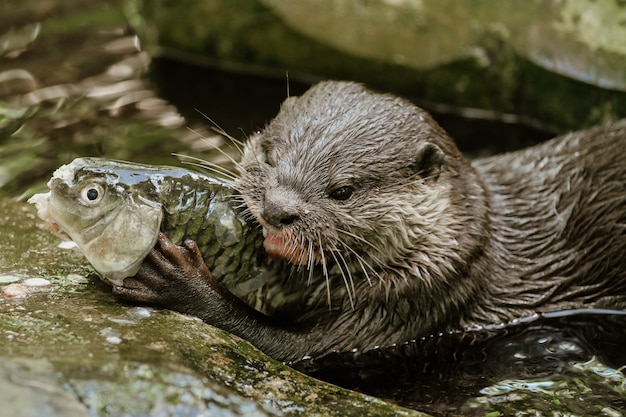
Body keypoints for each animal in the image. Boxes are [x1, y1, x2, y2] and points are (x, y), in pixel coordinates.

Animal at [112, 80, 624, 360]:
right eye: (270, 155)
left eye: (343, 191)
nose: (277, 209)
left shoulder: (420, 293)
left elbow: (291, 347)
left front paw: (180, 281)